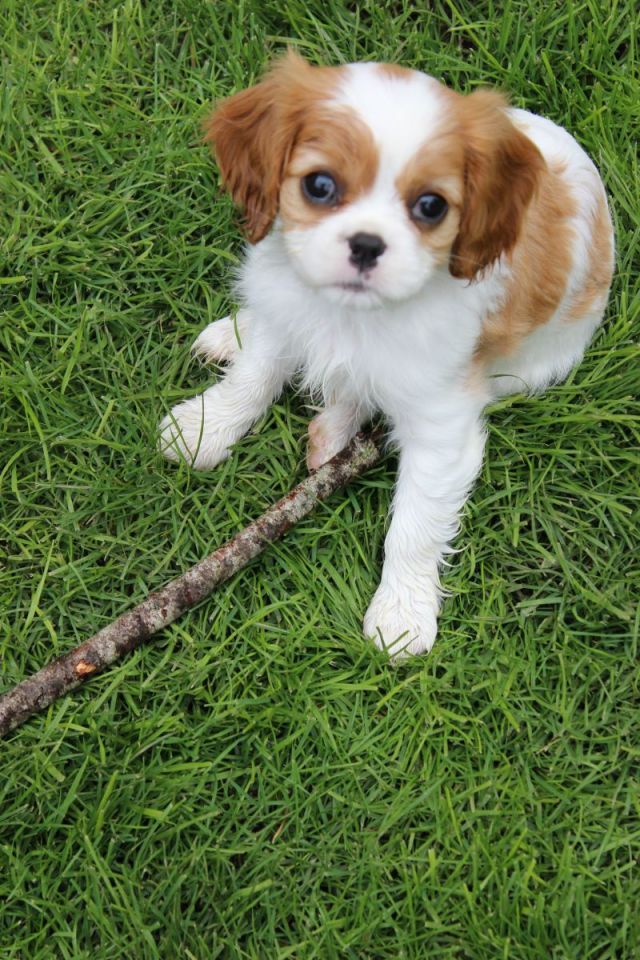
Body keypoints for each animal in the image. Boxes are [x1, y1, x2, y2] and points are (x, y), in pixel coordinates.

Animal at [158, 50, 612, 652]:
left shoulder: (442, 422)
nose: (367, 245)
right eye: (319, 185)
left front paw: (402, 612)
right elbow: (256, 375)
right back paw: (236, 335)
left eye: (431, 206)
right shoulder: (289, 309)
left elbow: (415, 522)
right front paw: (206, 426)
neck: (353, 316)